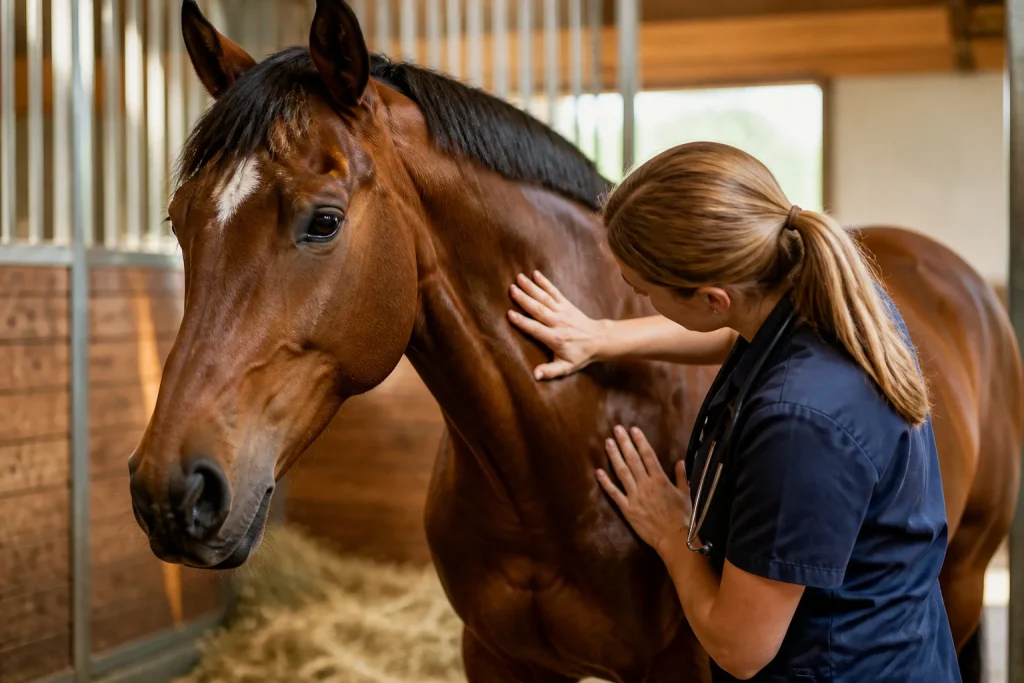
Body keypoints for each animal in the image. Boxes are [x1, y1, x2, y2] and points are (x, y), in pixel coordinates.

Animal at [126, 1, 1022, 681]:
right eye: (178, 220)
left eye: (323, 220)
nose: (172, 490)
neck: (563, 449)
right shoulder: (497, 658)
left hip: (965, 578)